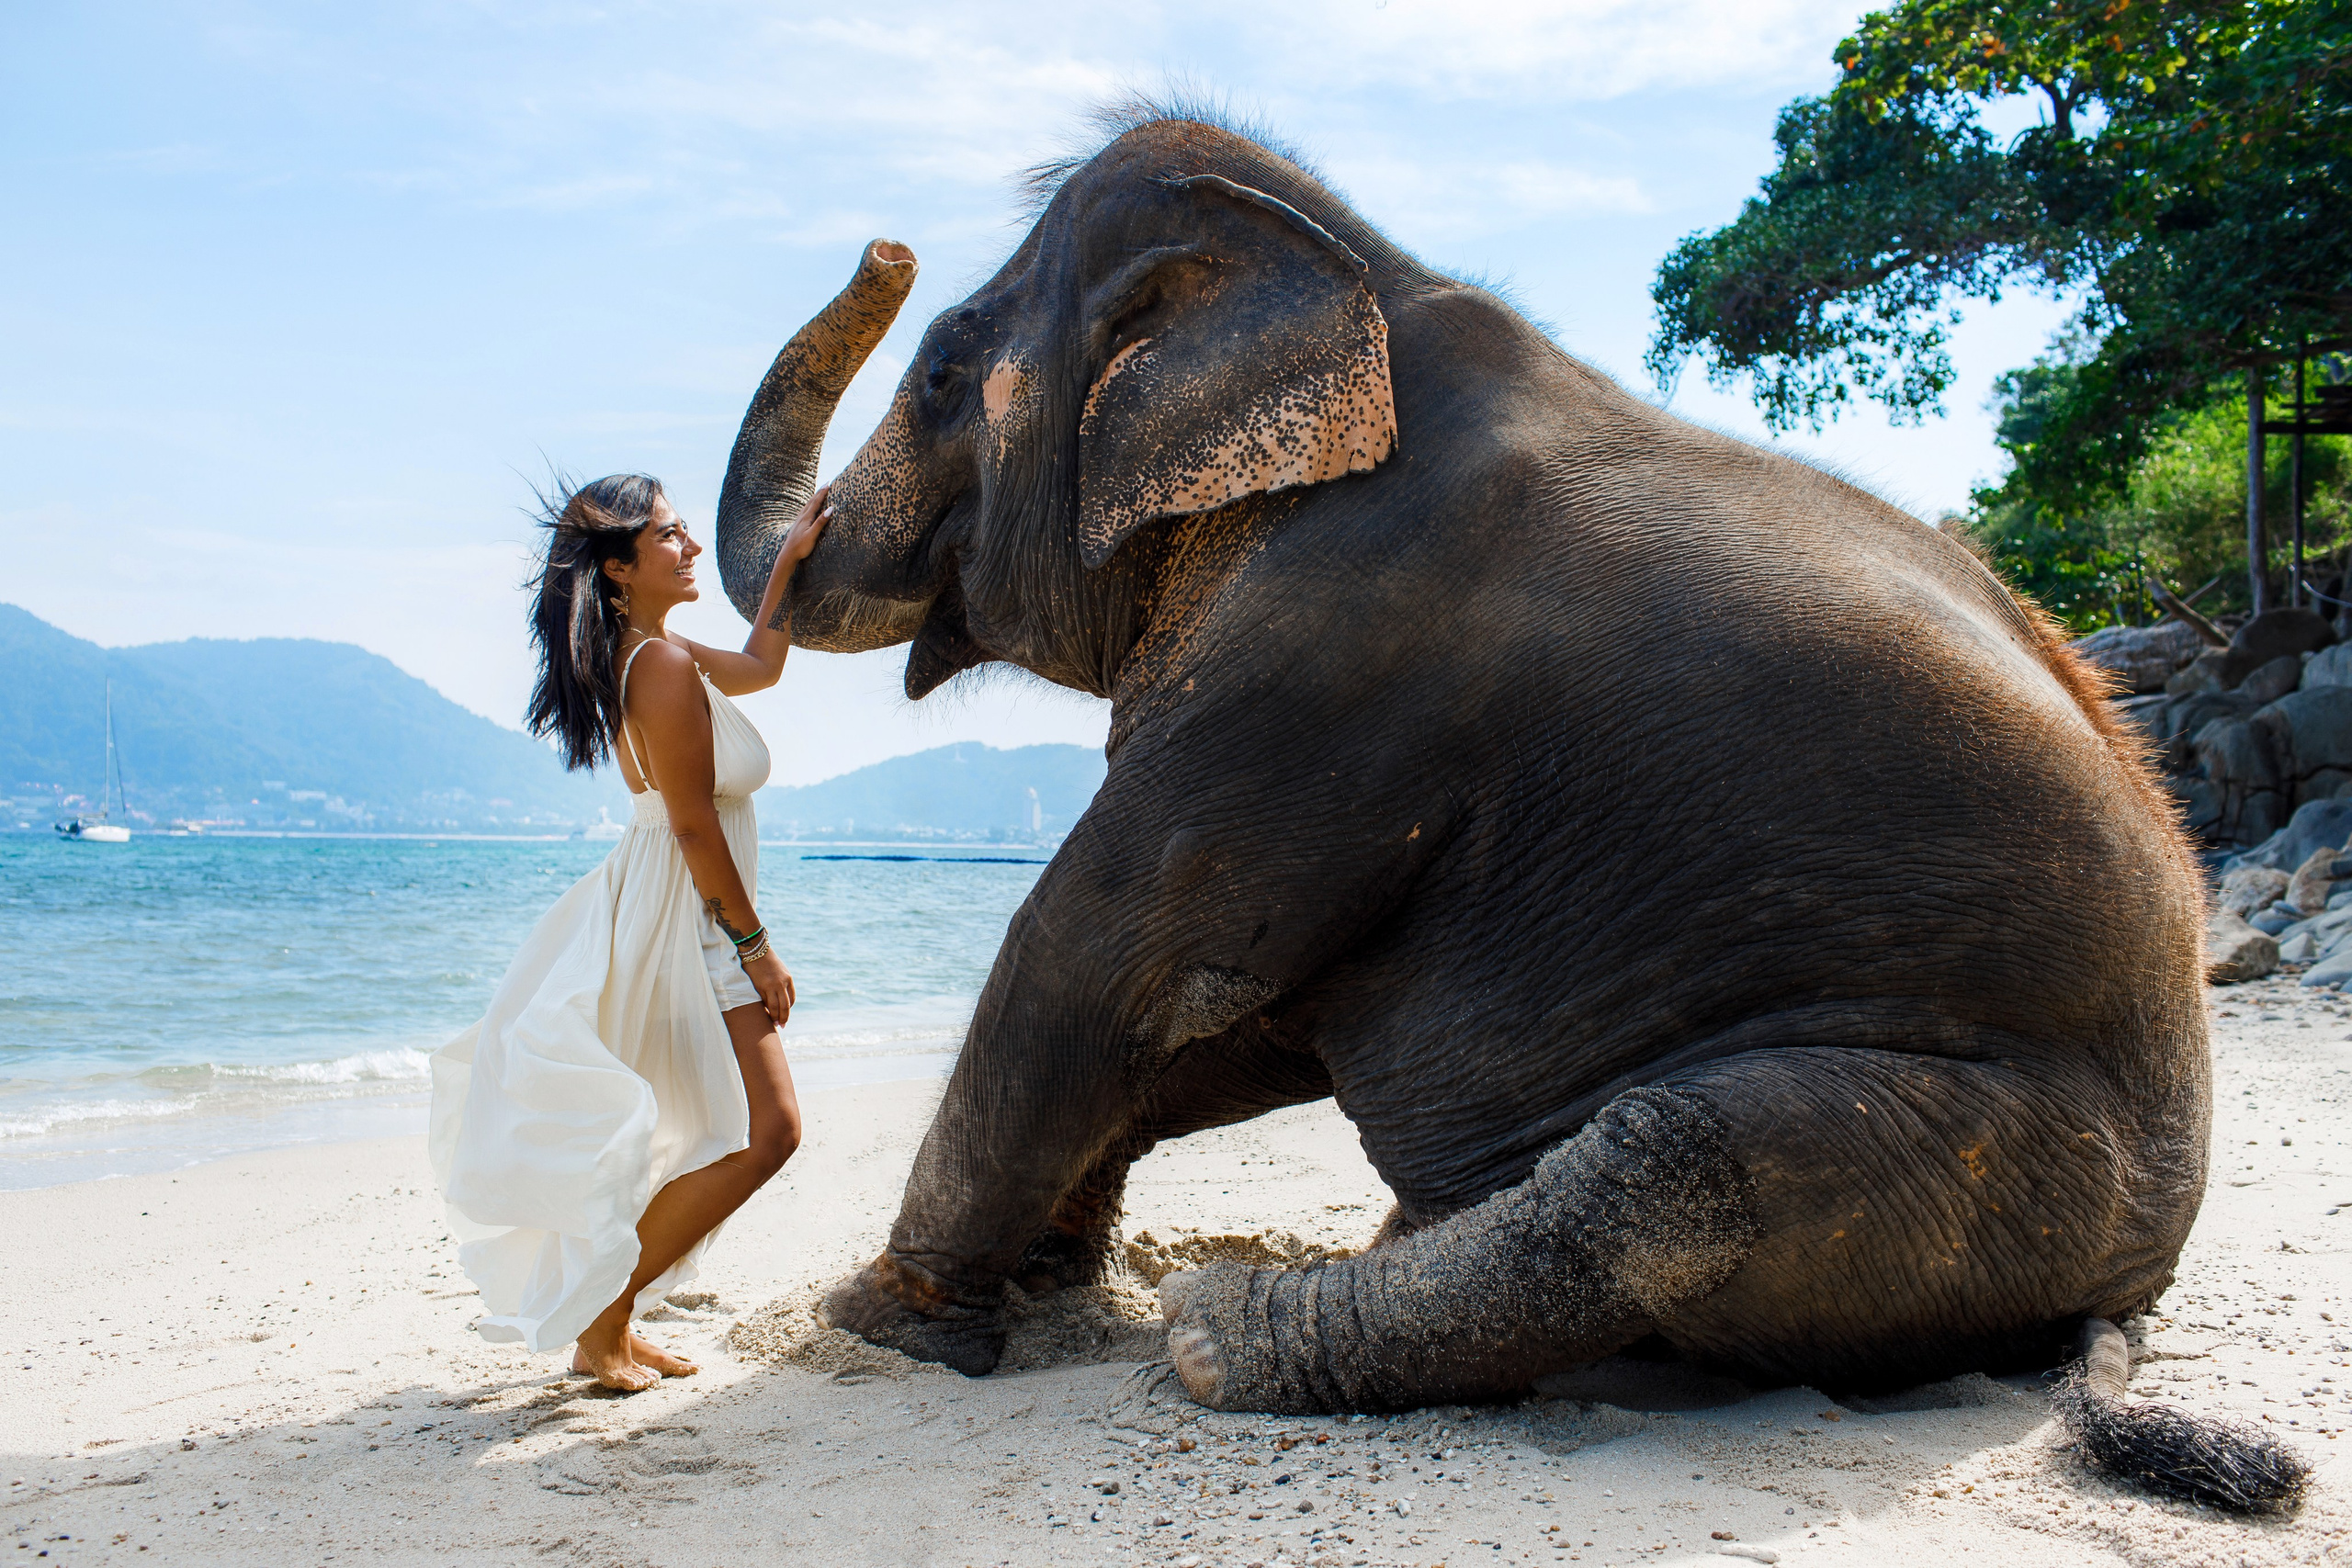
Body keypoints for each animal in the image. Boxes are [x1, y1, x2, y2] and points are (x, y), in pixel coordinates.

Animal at [714, 105, 2226, 1456]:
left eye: (936, 375)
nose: (887, 249)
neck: (1362, 279)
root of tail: (2126, 1301)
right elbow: (1234, 1019)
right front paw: (1047, 1280)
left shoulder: (1331, 653)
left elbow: (1108, 959)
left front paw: (883, 1324)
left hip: (2003, 1165)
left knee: (1668, 1169)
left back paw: (1222, 1329)